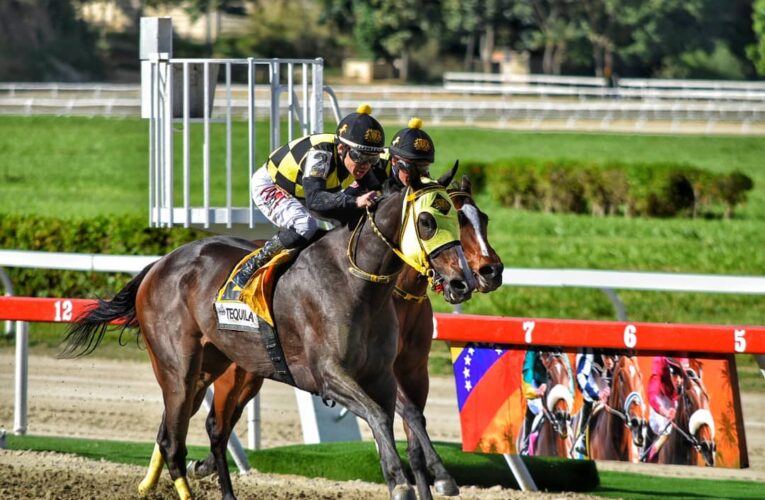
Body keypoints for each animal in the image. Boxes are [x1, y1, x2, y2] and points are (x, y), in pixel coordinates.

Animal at [62, 172, 472, 500]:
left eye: (460, 219)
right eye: (426, 220)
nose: (462, 281)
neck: (357, 283)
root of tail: (159, 264)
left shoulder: (383, 377)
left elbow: (398, 418)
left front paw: (427, 477)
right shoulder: (328, 376)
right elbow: (379, 417)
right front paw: (404, 481)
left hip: (216, 366)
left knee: (201, 430)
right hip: (177, 367)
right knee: (174, 443)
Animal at [186, 175, 504, 500]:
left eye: (483, 219)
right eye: (454, 220)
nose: (490, 272)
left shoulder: (412, 371)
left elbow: (415, 431)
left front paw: (432, 476)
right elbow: (408, 415)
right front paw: (433, 475)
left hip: (250, 372)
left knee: (220, 423)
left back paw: (203, 465)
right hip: (234, 370)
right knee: (217, 424)